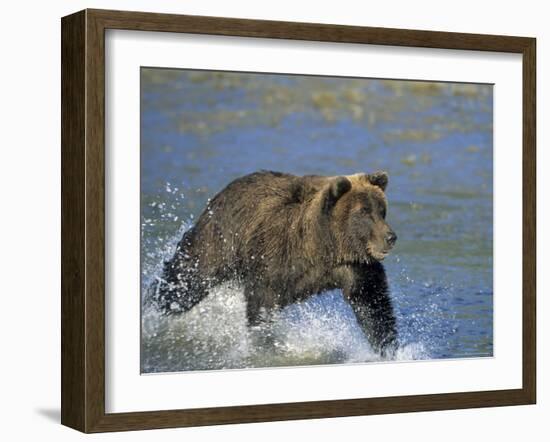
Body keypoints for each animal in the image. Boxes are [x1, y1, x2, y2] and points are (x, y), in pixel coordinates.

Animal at [152, 170, 402, 356]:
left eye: (382, 210)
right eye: (364, 212)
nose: (390, 237)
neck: (319, 248)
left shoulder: (354, 267)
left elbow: (372, 304)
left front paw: (388, 348)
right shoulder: (274, 256)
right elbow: (261, 305)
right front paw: (265, 345)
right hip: (218, 242)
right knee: (187, 281)